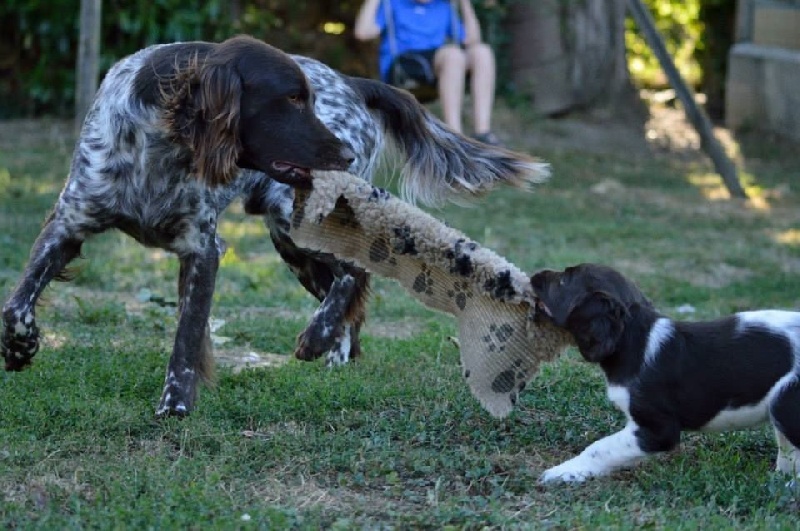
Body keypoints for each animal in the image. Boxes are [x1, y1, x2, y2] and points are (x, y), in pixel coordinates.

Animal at [1, 35, 544, 418]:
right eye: (291, 98)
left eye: (309, 99)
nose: (344, 154)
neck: (156, 146)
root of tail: (353, 83)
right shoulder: (69, 222)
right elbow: (16, 304)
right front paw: (20, 347)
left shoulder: (203, 248)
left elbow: (187, 337)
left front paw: (176, 405)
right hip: (288, 237)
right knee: (346, 289)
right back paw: (335, 355)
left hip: (293, 218)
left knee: (354, 273)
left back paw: (318, 338)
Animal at [532, 264, 800, 484]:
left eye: (564, 281)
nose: (535, 274)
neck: (636, 339)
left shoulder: (658, 429)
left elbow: (600, 447)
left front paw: (563, 472)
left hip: (785, 400)